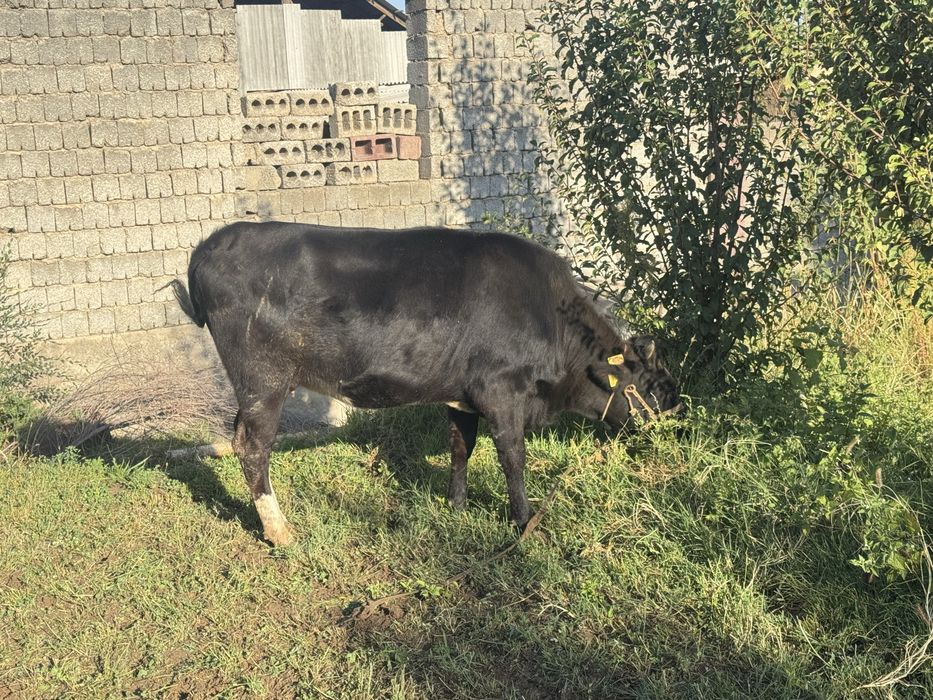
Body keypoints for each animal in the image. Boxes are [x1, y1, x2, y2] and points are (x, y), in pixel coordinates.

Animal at [169, 222, 681, 546]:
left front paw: (456, 507)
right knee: (253, 447)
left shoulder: (462, 395)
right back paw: (281, 532)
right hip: (264, 381)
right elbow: (513, 457)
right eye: (652, 387)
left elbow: (460, 448)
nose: (676, 415)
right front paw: (523, 521)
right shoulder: (502, 391)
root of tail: (210, 245)